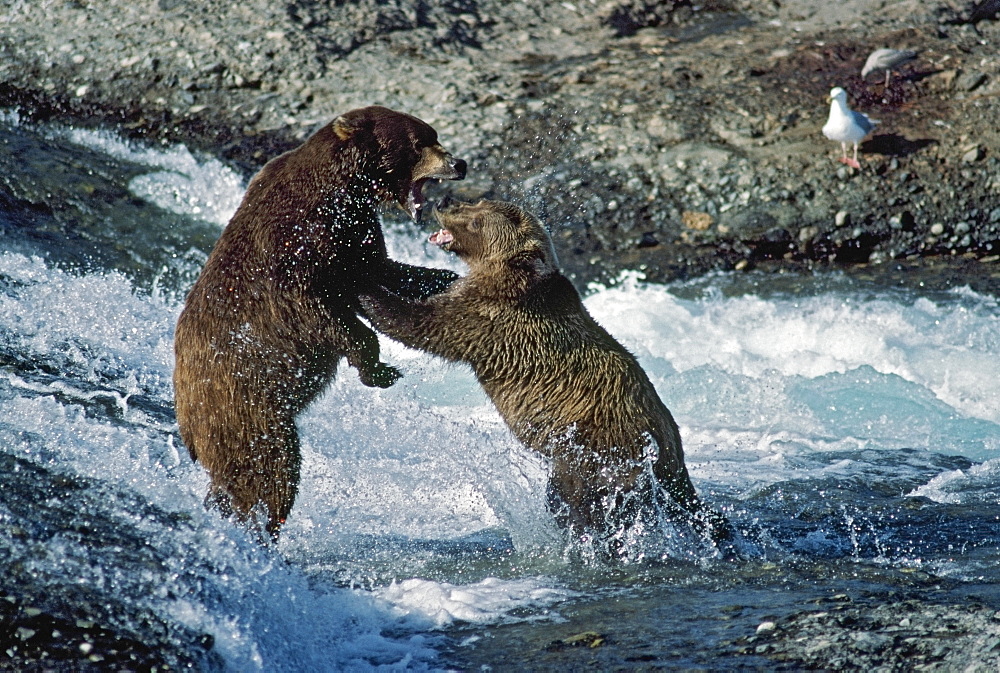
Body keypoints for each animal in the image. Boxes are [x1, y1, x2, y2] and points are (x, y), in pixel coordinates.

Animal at [173, 105, 468, 540]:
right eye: (420, 142)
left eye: (433, 134)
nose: (459, 163)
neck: (344, 189)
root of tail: (186, 420)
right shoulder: (295, 245)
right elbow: (320, 313)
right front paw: (380, 369)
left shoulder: (354, 230)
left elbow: (378, 268)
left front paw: (447, 279)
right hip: (245, 407)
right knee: (269, 467)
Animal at [360, 198, 728, 544]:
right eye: (477, 202)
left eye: (477, 221)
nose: (443, 202)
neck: (511, 279)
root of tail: (670, 451)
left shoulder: (491, 320)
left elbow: (424, 324)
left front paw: (365, 290)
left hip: (596, 450)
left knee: (576, 498)